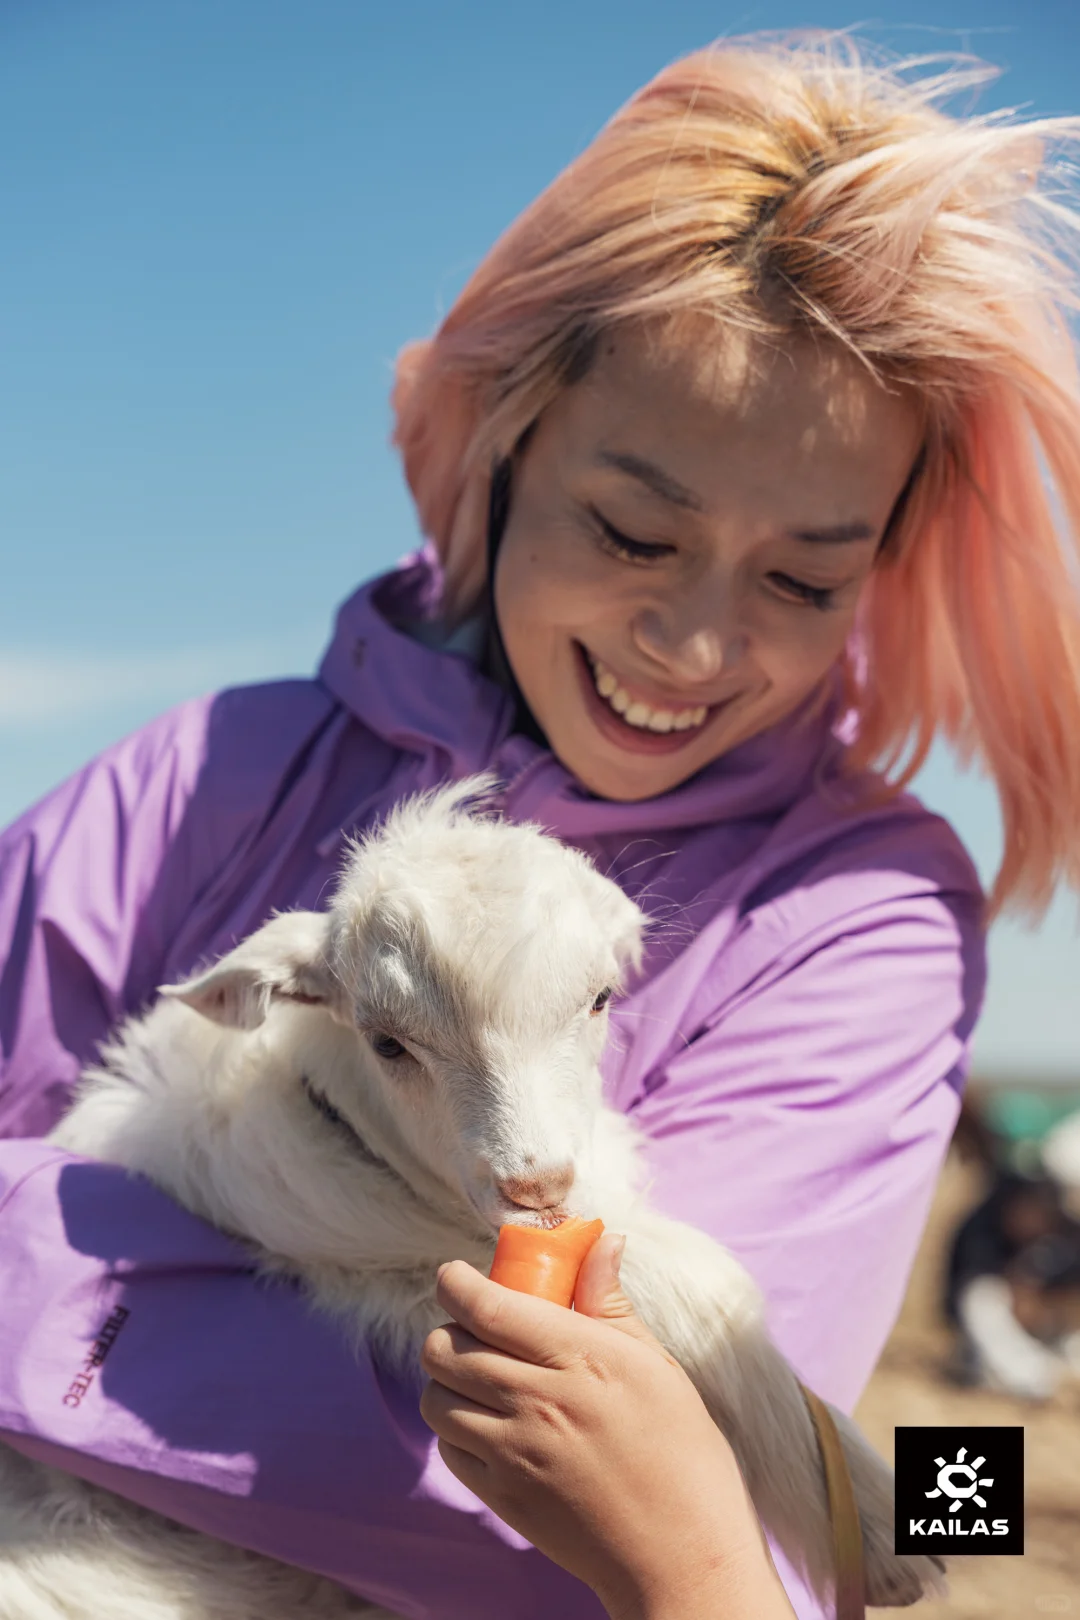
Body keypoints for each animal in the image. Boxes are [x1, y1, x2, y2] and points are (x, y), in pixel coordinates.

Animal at [0, 777, 939, 1613]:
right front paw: (880, 1536)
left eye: (601, 999)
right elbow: (704, 1278)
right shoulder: (381, 1271)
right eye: (386, 1043)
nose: (537, 1184)